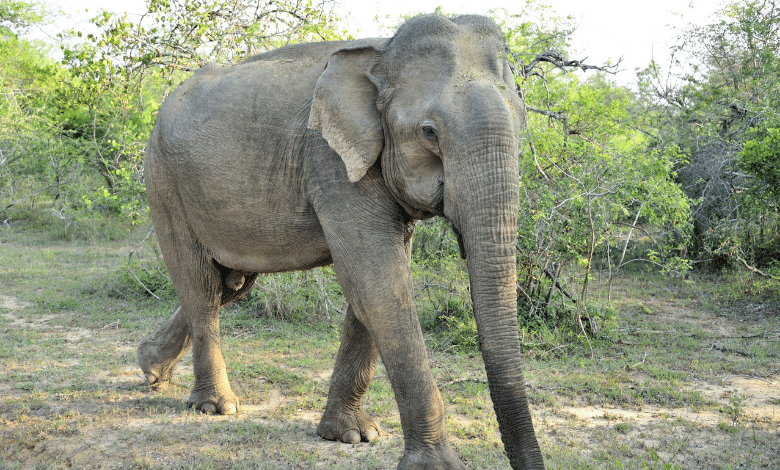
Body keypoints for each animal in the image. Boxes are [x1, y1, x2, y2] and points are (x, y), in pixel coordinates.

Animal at [137, 12, 544, 470]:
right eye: (429, 133)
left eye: (521, 123)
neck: (383, 54)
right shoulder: (329, 158)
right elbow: (378, 283)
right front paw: (435, 466)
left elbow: (375, 287)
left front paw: (352, 436)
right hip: (163, 179)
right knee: (200, 284)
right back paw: (215, 406)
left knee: (231, 284)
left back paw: (151, 370)